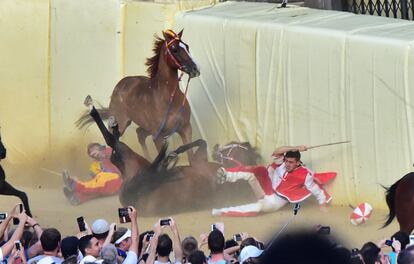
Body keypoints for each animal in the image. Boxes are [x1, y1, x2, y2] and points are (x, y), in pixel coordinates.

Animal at [79, 30, 201, 160]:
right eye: (174, 49)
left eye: (187, 46)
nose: (195, 69)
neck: (169, 99)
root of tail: (121, 84)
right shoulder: (157, 137)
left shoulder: (186, 129)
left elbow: (191, 157)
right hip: (121, 124)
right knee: (113, 140)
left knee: (139, 134)